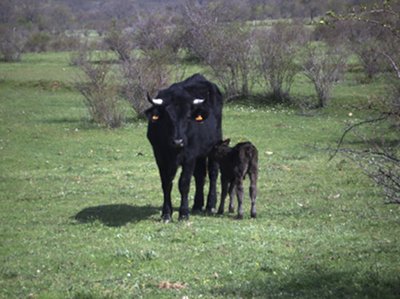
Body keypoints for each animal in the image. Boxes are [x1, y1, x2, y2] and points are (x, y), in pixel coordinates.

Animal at [145, 74, 223, 221]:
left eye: (188, 116)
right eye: (167, 117)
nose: (178, 141)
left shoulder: (189, 156)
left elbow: (184, 183)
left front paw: (184, 213)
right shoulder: (160, 157)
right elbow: (166, 183)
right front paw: (166, 213)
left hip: (215, 145)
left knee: (213, 173)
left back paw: (210, 205)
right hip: (200, 153)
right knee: (200, 175)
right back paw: (197, 205)